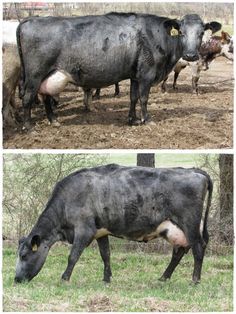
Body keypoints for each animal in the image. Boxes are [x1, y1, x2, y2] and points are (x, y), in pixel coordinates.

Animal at [15, 164, 214, 288]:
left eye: (24, 255)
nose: (16, 279)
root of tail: (195, 171)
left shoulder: (84, 231)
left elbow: (73, 256)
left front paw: (64, 278)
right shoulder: (101, 231)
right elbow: (106, 255)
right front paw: (106, 279)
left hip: (189, 223)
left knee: (198, 248)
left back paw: (194, 280)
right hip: (175, 229)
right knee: (179, 251)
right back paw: (163, 277)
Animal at [16, 11, 221, 129]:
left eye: (201, 33)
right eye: (181, 32)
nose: (191, 55)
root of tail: (30, 20)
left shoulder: (135, 76)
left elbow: (133, 97)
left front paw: (132, 120)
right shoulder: (146, 74)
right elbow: (144, 98)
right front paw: (146, 119)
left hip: (47, 75)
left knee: (45, 97)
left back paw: (53, 120)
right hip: (34, 74)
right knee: (28, 98)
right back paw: (29, 127)